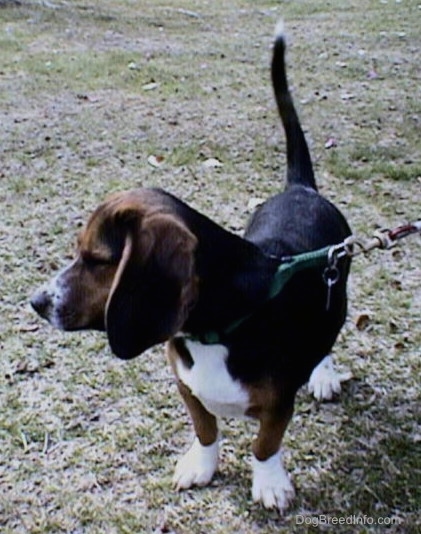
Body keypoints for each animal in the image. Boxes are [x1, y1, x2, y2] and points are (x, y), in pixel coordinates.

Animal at [31, 22, 350, 516]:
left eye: (97, 260)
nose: (36, 302)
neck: (219, 328)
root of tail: (302, 188)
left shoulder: (278, 404)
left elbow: (265, 445)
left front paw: (270, 484)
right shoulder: (186, 384)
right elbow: (205, 428)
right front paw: (201, 466)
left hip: (338, 283)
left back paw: (324, 373)